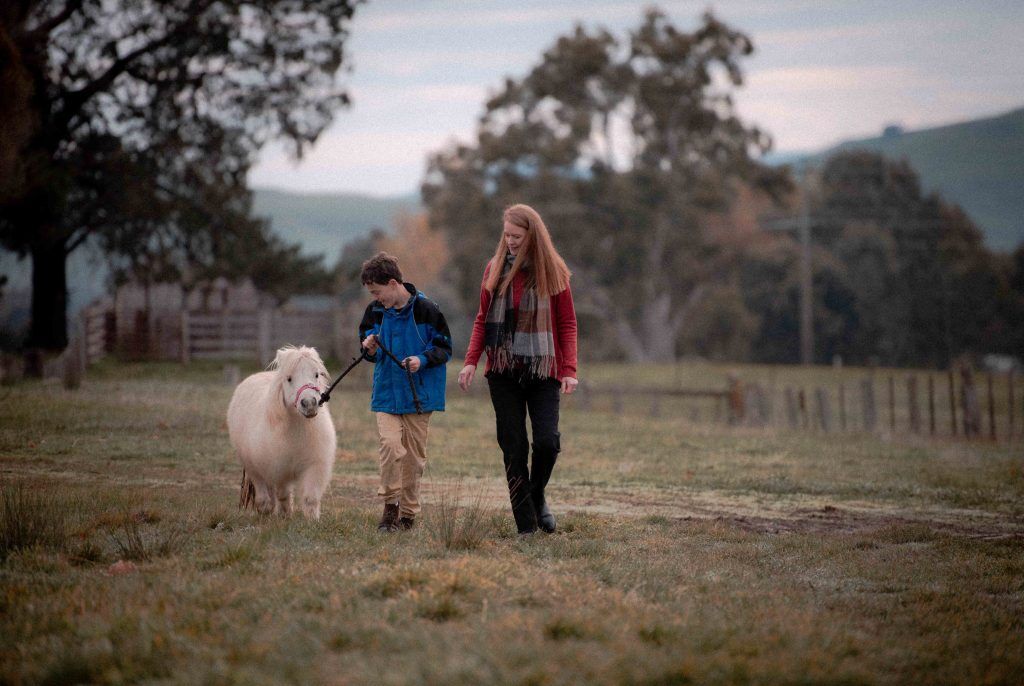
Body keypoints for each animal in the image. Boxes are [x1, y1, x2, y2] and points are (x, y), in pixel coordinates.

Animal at [228, 346, 335, 518]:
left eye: (317, 374)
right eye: (289, 379)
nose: (309, 404)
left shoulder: (315, 466)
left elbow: (310, 498)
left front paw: (311, 519)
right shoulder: (277, 468)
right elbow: (280, 494)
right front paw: (282, 514)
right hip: (253, 467)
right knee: (266, 494)